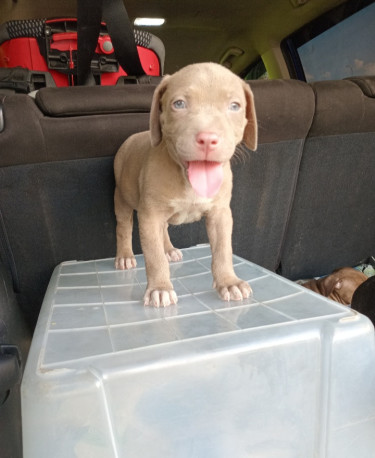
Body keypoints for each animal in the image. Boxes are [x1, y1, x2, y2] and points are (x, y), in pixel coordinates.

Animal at [113, 60, 258, 304]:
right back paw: (125, 255)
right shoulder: (149, 216)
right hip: (121, 198)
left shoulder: (220, 214)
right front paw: (160, 288)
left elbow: (223, 250)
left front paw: (229, 282)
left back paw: (169, 249)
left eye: (235, 106)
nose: (208, 139)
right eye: (179, 104)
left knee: (164, 229)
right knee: (123, 226)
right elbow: (154, 257)